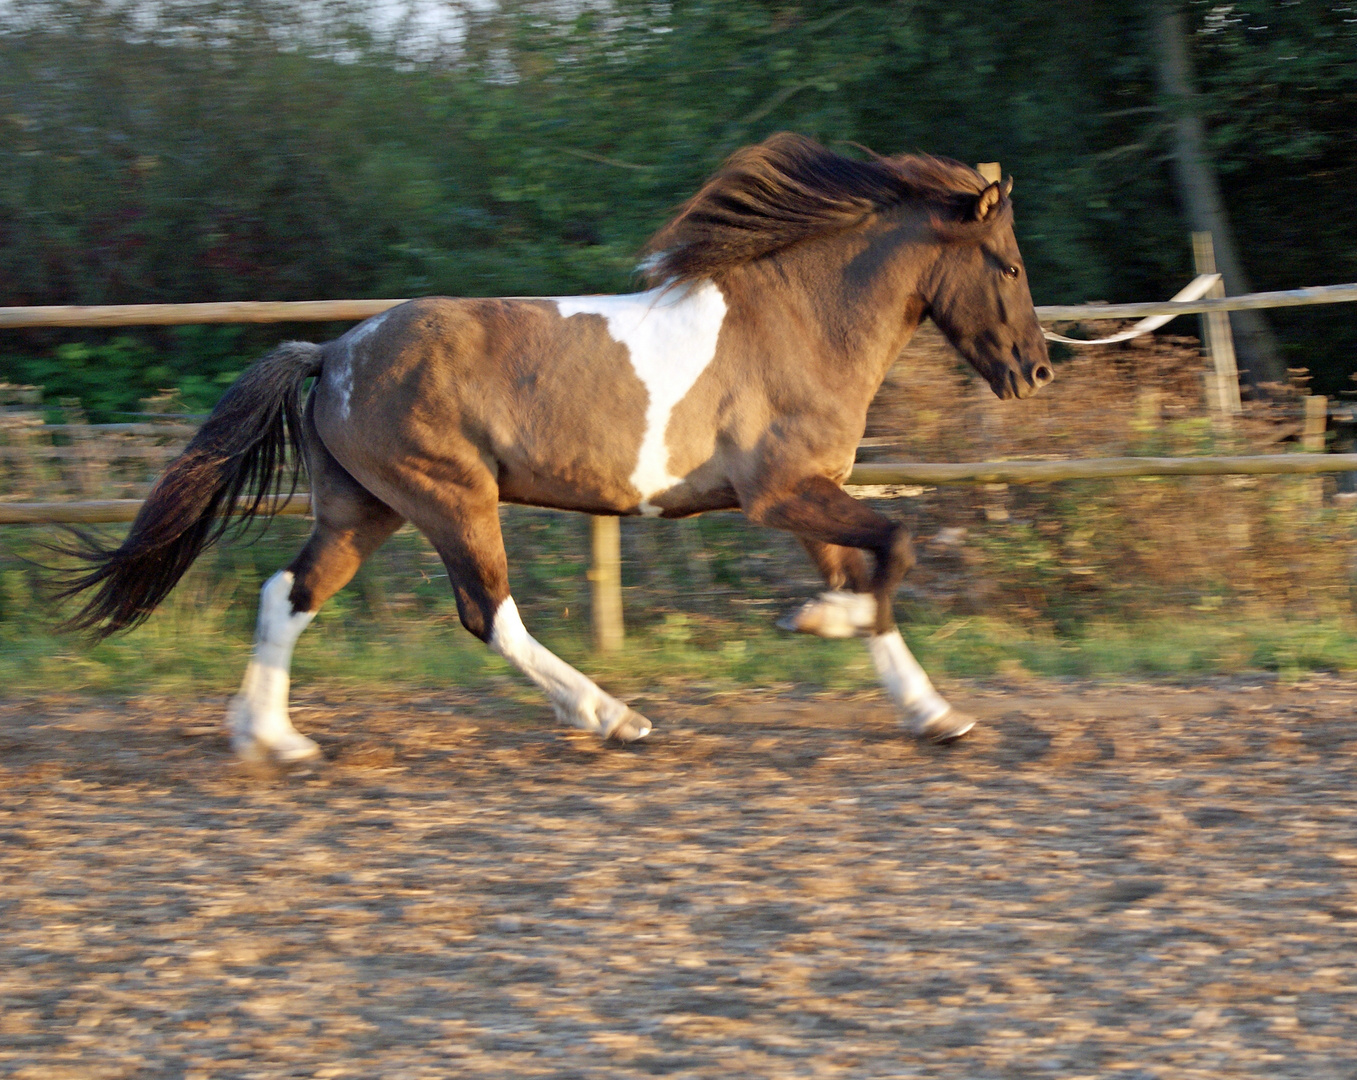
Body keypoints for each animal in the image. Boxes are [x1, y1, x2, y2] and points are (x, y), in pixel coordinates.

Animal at [58, 132, 1053, 759]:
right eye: (1007, 265)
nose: (1035, 369)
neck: (797, 323)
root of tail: (333, 351)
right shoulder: (780, 493)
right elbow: (895, 548)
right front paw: (817, 622)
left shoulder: (804, 494)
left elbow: (871, 574)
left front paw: (934, 716)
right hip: (450, 497)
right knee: (487, 613)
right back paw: (612, 717)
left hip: (365, 508)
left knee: (289, 593)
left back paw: (271, 741)